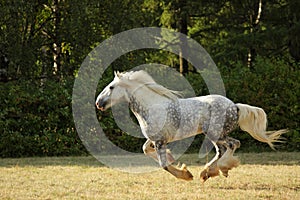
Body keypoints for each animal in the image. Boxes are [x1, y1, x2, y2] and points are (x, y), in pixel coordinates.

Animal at [95, 70, 286, 181]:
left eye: (111, 87)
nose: (98, 103)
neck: (152, 106)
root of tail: (235, 106)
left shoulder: (159, 141)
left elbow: (163, 165)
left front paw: (185, 174)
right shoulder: (156, 139)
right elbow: (145, 149)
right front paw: (174, 159)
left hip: (215, 133)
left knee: (232, 145)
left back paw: (220, 169)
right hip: (217, 135)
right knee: (225, 148)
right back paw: (209, 172)